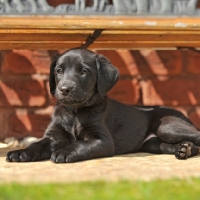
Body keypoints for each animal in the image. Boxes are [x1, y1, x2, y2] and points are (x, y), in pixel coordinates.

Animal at [6, 48, 200, 162]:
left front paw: (64, 152)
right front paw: (20, 152)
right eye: (59, 71)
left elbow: (80, 144)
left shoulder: (102, 140)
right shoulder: (54, 136)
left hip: (166, 127)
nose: (64, 89)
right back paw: (185, 149)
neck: (75, 113)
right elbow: (37, 144)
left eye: (84, 72)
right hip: (152, 143)